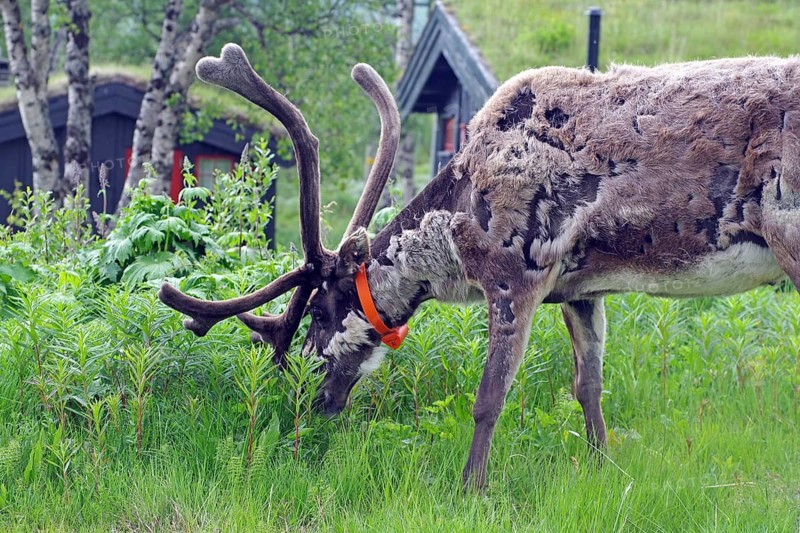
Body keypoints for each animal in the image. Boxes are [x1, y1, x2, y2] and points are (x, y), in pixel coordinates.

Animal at [159, 43, 800, 490]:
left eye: (318, 313)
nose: (314, 399)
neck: (459, 213)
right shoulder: (581, 291)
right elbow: (589, 386)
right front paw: (601, 468)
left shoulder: (514, 278)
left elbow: (489, 397)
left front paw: (471, 487)